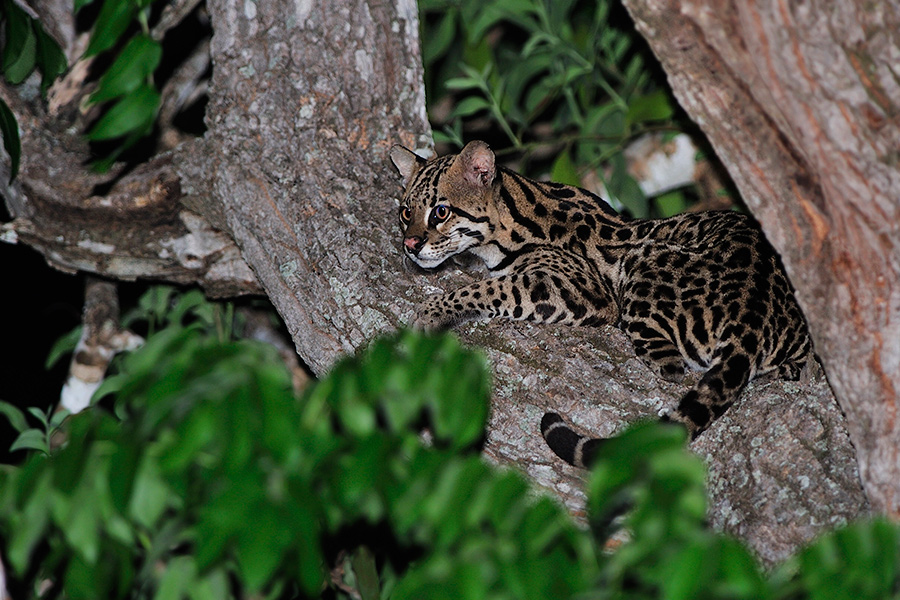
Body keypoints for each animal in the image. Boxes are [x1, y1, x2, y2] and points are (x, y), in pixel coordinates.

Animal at [390, 142, 812, 468]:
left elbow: (490, 288)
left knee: (672, 367)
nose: (410, 245)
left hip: (644, 259)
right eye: (406, 211)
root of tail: (752, 316)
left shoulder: (573, 284)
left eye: (440, 212)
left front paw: (433, 312)